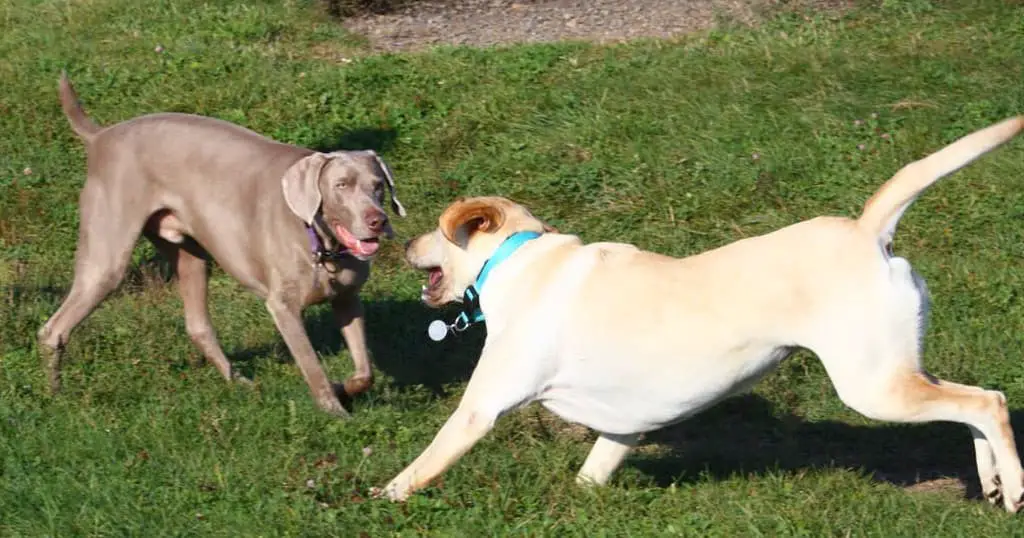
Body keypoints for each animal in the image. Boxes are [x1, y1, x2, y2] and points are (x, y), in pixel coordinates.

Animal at [39, 74, 407, 416]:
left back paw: (237, 381)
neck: (322, 245)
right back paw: (55, 394)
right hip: (108, 261)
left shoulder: (348, 298)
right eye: (341, 185)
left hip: (191, 256)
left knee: (198, 325)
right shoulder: (283, 307)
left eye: (378, 185)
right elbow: (311, 366)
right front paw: (334, 410)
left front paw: (345, 387)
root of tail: (101, 137)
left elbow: (366, 371)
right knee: (53, 329)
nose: (377, 221)